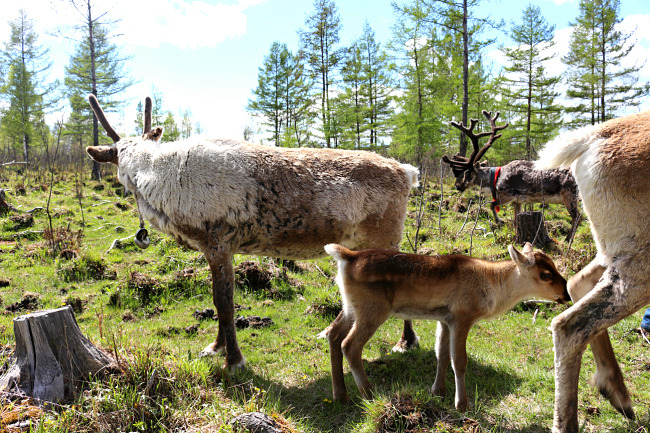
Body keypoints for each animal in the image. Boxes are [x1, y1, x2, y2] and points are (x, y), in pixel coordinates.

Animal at [326, 243, 564, 408]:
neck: (493, 287)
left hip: (350, 307)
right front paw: (462, 404)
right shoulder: (462, 316)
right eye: (545, 274)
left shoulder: (444, 319)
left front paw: (437, 392)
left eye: (553, 265)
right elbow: (459, 360)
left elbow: (441, 354)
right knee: (350, 345)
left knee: (333, 334)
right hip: (372, 310)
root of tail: (347, 256)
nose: (566, 293)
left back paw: (340, 395)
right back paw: (369, 394)